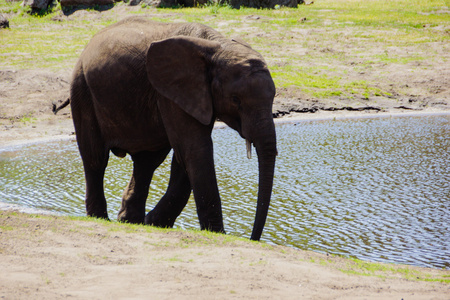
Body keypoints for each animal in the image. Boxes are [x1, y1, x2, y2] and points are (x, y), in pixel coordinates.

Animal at [70, 16, 276, 241]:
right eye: (236, 100)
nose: (253, 238)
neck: (218, 46)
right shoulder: (171, 92)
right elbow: (195, 149)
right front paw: (217, 233)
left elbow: (186, 155)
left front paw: (153, 223)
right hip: (82, 89)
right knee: (96, 159)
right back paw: (100, 218)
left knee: (146, 162)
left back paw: (130, 220)